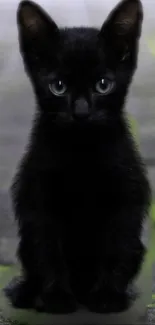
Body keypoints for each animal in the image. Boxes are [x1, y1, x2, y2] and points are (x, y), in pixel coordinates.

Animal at [3, 0, 151, 314]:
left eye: (103, 84)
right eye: (58, 86)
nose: (81, 112)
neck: (82, 152)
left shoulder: (126, 196)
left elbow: (116, 248)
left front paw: (107, 296)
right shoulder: (38, 200)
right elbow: (49, 252)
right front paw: (57, 297)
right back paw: (26, 292)